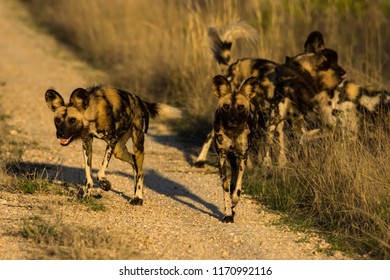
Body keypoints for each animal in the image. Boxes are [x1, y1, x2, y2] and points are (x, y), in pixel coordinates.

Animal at [45, 84, 182, 205]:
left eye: (72, 120)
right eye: (57, 120)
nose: (61, 134)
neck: (92, 112)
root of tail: (139, 100)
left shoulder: (111, 141)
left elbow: (100, 172)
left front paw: (105, 184)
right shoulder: (87, 143)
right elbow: (88, 176)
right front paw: (86, 196)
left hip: (137, 143)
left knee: (141, 172)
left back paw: (138, 198)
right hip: (119, 150)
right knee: (134, 163)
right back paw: (135, 194)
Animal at [210, 75, 258, 223]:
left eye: (240, 107)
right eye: (226, 106)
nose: (232, 119)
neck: (233, 132)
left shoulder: (243, 157)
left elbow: (238, 188)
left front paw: (233, 203)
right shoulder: (222, 157)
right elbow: (226, 188)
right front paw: (228, 214)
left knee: (236, 179)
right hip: (230, 158)